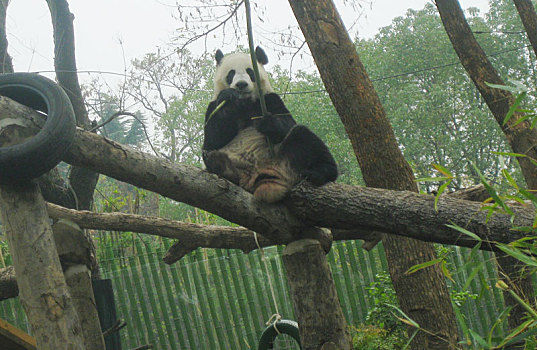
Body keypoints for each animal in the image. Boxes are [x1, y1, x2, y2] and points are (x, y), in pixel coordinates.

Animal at [201, 47, 336, 204]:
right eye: (231, 73)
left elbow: (288, 124)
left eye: (250, 71)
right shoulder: (212, 105)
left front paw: (269, 124)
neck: (245, 102)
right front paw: (228, 97)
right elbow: (212, 140)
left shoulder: (269, 99)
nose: (241, 84)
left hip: (284, 158)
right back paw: (221, 165)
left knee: (302, 136)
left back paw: (321, 172)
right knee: (210, 154)